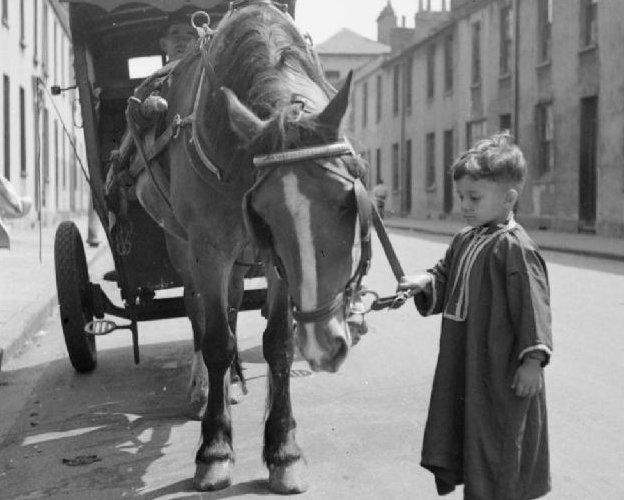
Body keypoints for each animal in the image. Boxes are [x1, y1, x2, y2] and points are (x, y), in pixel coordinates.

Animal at [136, 0, 370, 492]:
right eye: (264, 212)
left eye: (347, 200)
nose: (325, 345)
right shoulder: (210, 249)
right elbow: (216, 341)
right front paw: (214, 449)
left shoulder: (271, 260)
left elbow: (277, 342)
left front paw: (283, 450)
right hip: (182, 246)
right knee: (199, 312)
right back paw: (205, 388)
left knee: (231, 300)